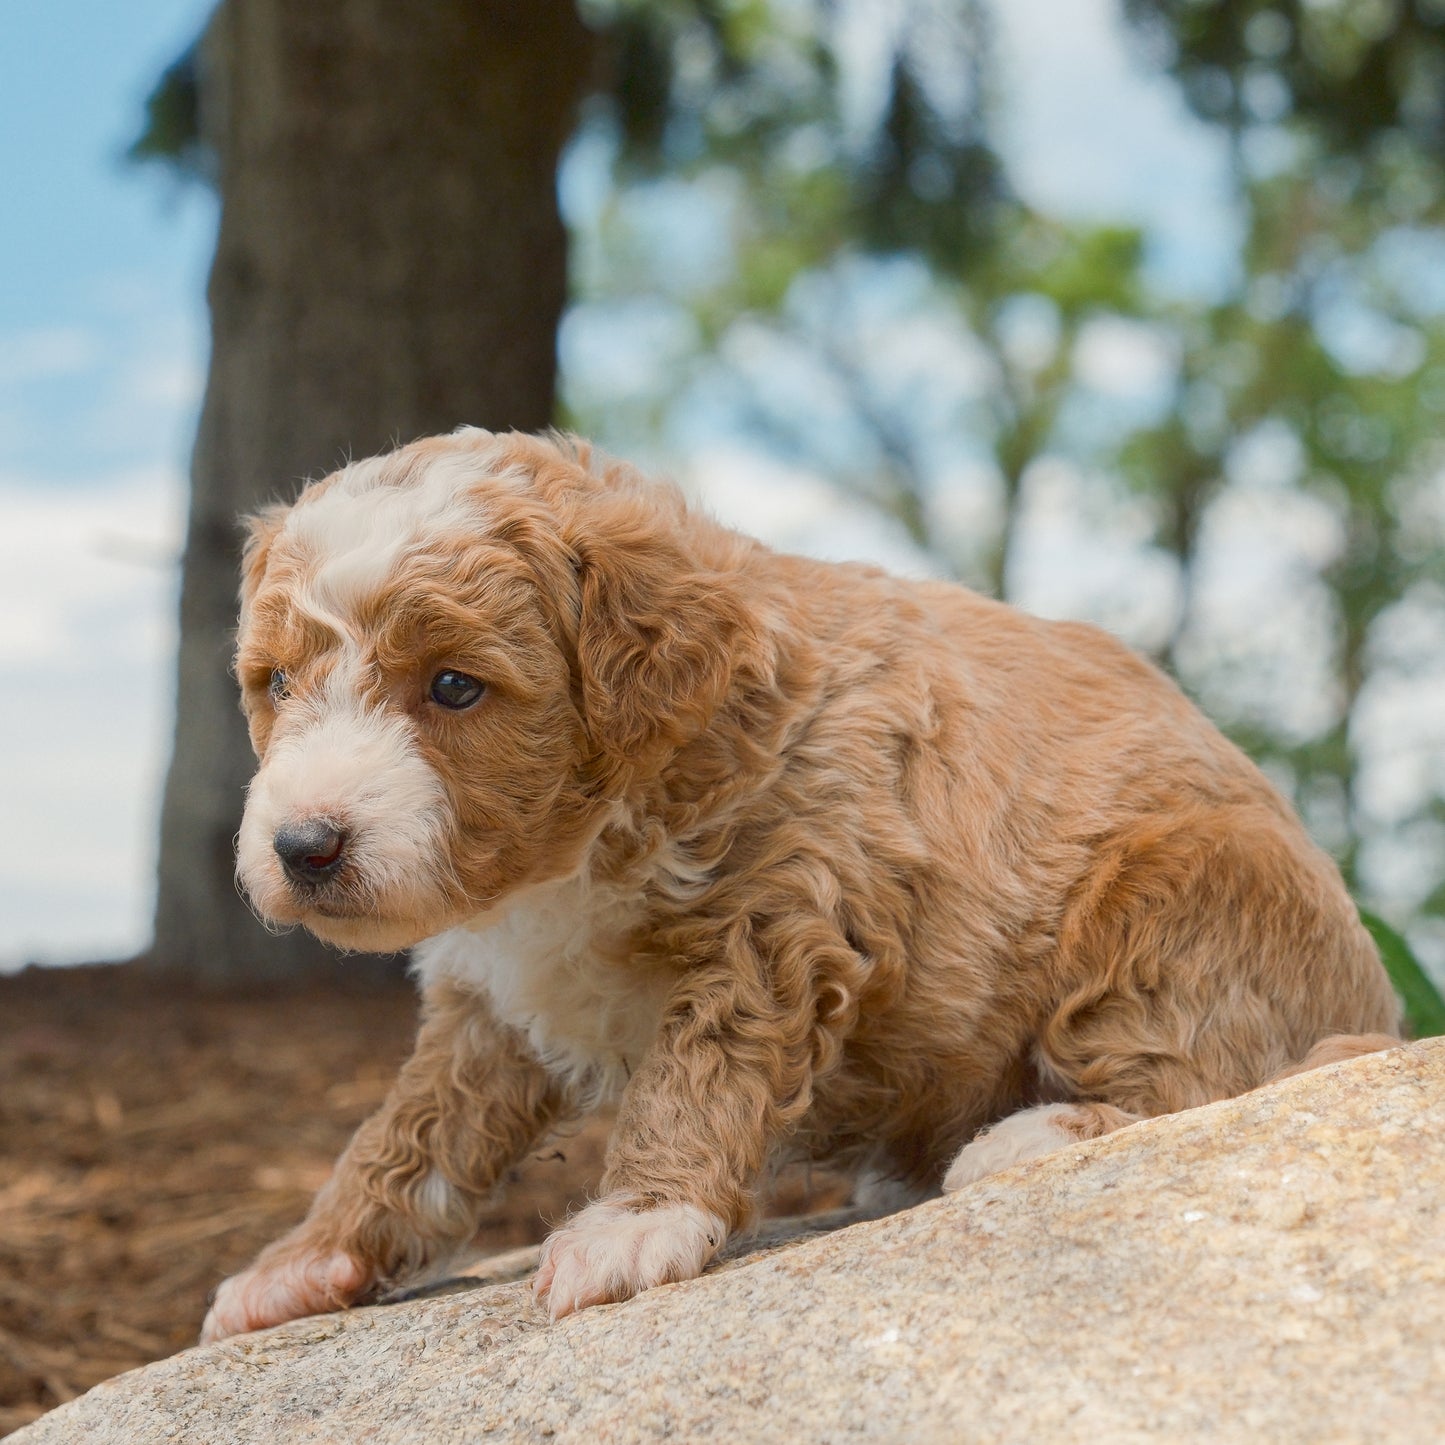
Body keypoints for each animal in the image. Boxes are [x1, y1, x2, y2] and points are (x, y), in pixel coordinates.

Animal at [197, 427, 1392, 1340]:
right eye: (277, 683)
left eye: (453, 686)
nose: (304, 844)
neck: (579, 846)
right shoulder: (489, 998)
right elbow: (410, 1131)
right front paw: (303, 1259)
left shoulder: (780, 914)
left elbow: (697, 1072)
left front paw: (635, 1220)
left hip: (1173, 894)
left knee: (1213, 1072)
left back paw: (1030, 1134)